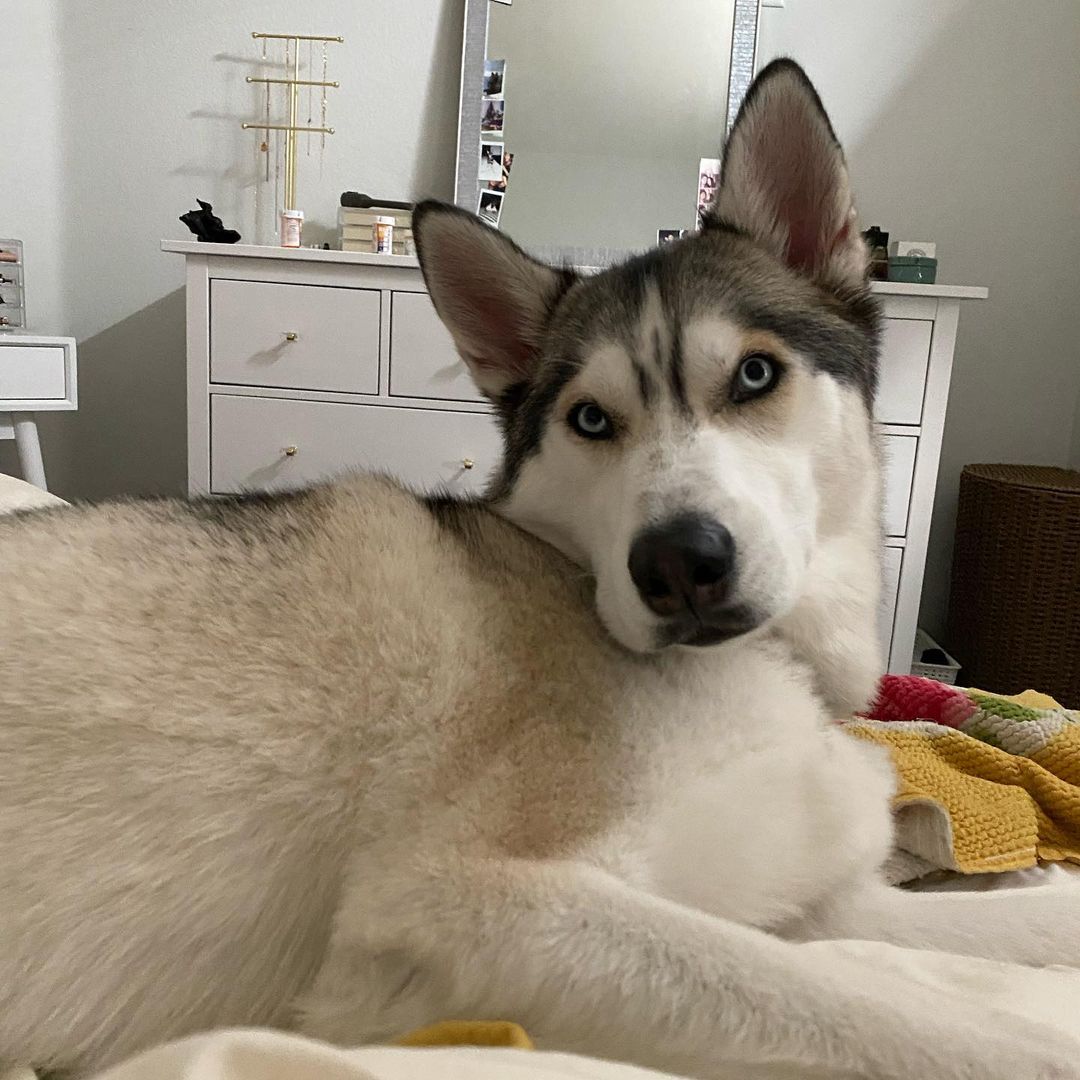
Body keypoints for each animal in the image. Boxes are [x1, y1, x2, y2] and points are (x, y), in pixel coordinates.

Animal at [2, 59, 1080, 1080]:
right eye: (591, 419)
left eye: (755, 374)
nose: (678, 564)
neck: (765, 669)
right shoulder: (465, 902)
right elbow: (887, 1017)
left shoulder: (810, 902)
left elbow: (993, 929)